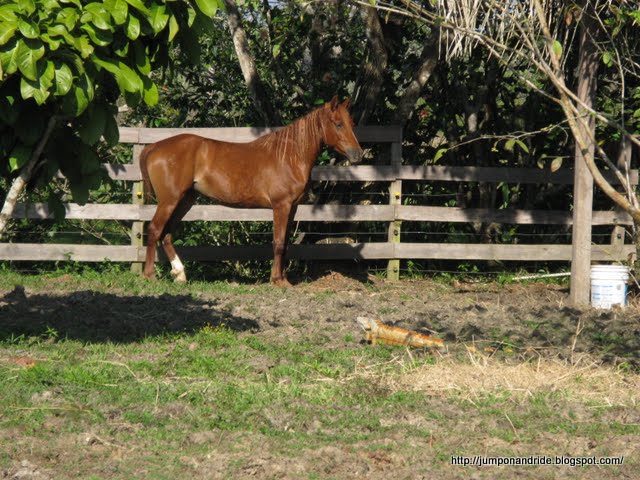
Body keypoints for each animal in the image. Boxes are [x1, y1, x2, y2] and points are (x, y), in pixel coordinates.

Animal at [139, 96, 363, 286]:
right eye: (338, 124)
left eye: (352, 124)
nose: (358, 154)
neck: (288, 156)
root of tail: (153, 147)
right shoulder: (281, 206)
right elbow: (279, 242)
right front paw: (278, 281)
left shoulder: (292, 208)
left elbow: (286, 243)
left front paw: (282, 278)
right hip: (169, 200)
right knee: (155, 229)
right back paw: (149, 276)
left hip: (185, 200)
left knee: (167, 233)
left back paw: (179, 274)